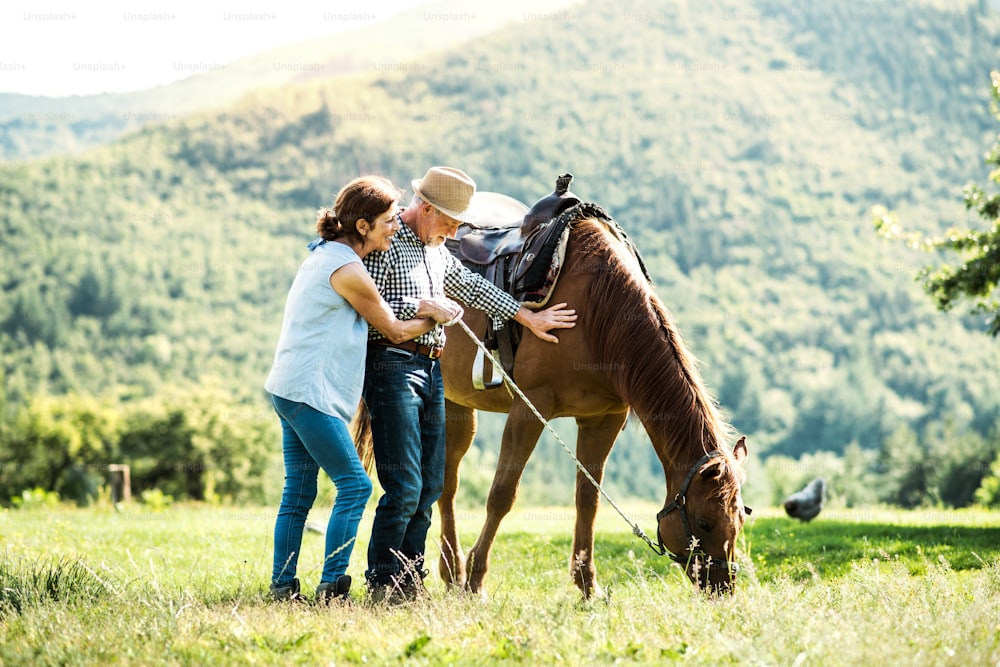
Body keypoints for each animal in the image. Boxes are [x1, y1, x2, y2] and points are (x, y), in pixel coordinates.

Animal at [438, 214, 752, 596]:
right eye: (704, 522)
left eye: (740, 519)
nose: (724, 587)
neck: (595, 311)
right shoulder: (530, 408)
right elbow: (502, 494)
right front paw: (476, 581)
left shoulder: (603, 418)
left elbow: (588, 500)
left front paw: (588, 585)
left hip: (456, 405)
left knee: (446, 483)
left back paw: (450, 572)